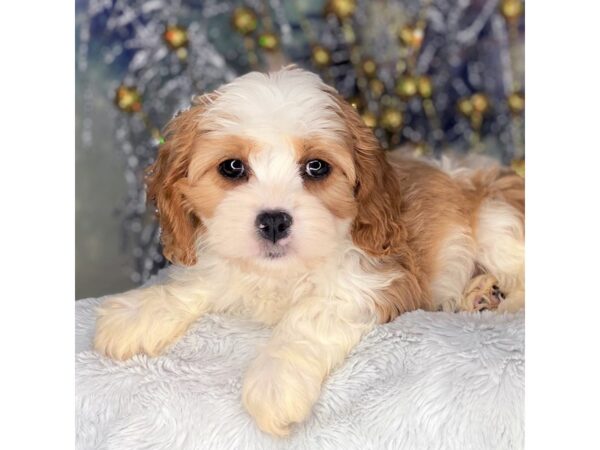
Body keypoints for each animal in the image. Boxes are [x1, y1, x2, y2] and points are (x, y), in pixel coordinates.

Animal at [95, 66, 524, 436]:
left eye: (316, 167)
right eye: (232, 167)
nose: (273, 221)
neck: (280, 273)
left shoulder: (374, 280)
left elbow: (308, 318)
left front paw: (275, 381)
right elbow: (200, 281)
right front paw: (139, 313)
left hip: (494, 216)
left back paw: (494, 297)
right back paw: (481, 294)